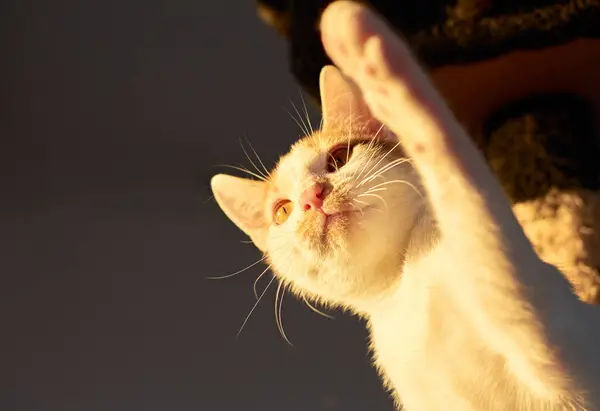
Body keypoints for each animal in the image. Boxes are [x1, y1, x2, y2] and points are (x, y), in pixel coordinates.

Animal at [211, 66, 600, 410]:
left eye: (338, 158)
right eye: (281, 211)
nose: (311, 197)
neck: (402, 287)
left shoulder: (550, 344)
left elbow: (476, 218)